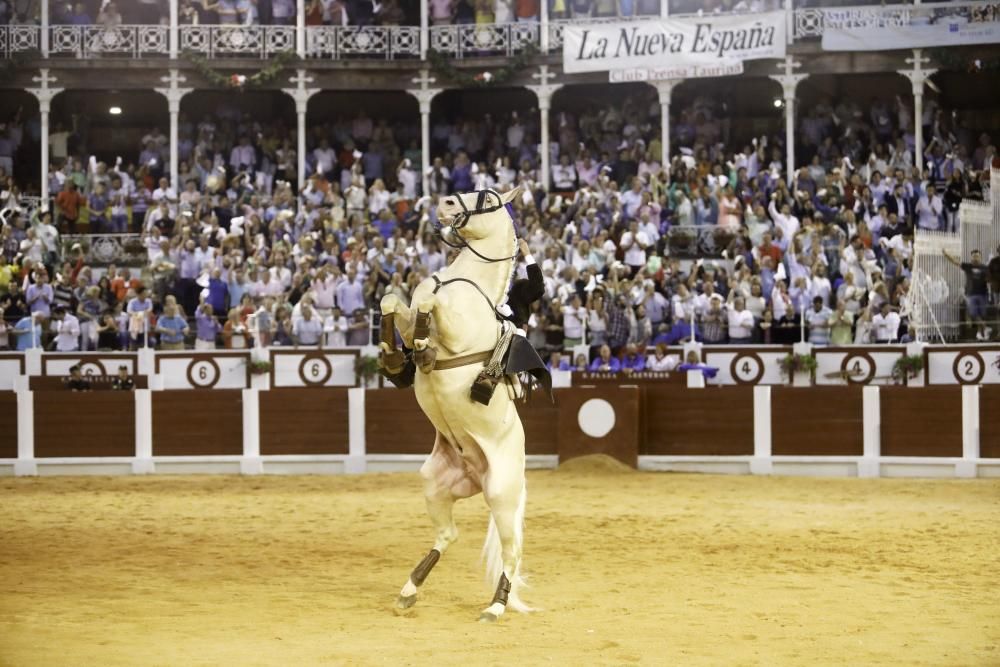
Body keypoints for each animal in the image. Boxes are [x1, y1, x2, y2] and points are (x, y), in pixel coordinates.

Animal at [376, 185, 532, 624]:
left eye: (489, 198)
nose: (444, 202)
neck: (465, 280)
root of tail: (477, 475)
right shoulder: (406, 304)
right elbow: (393, 300)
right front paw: (394, 355)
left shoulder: (457, 328)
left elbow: (433, 307)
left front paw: (424, 347)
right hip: (435, 483)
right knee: (449, 534)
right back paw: (409, 590)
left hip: (501, 492)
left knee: (511, 552)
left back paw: (495, 606)